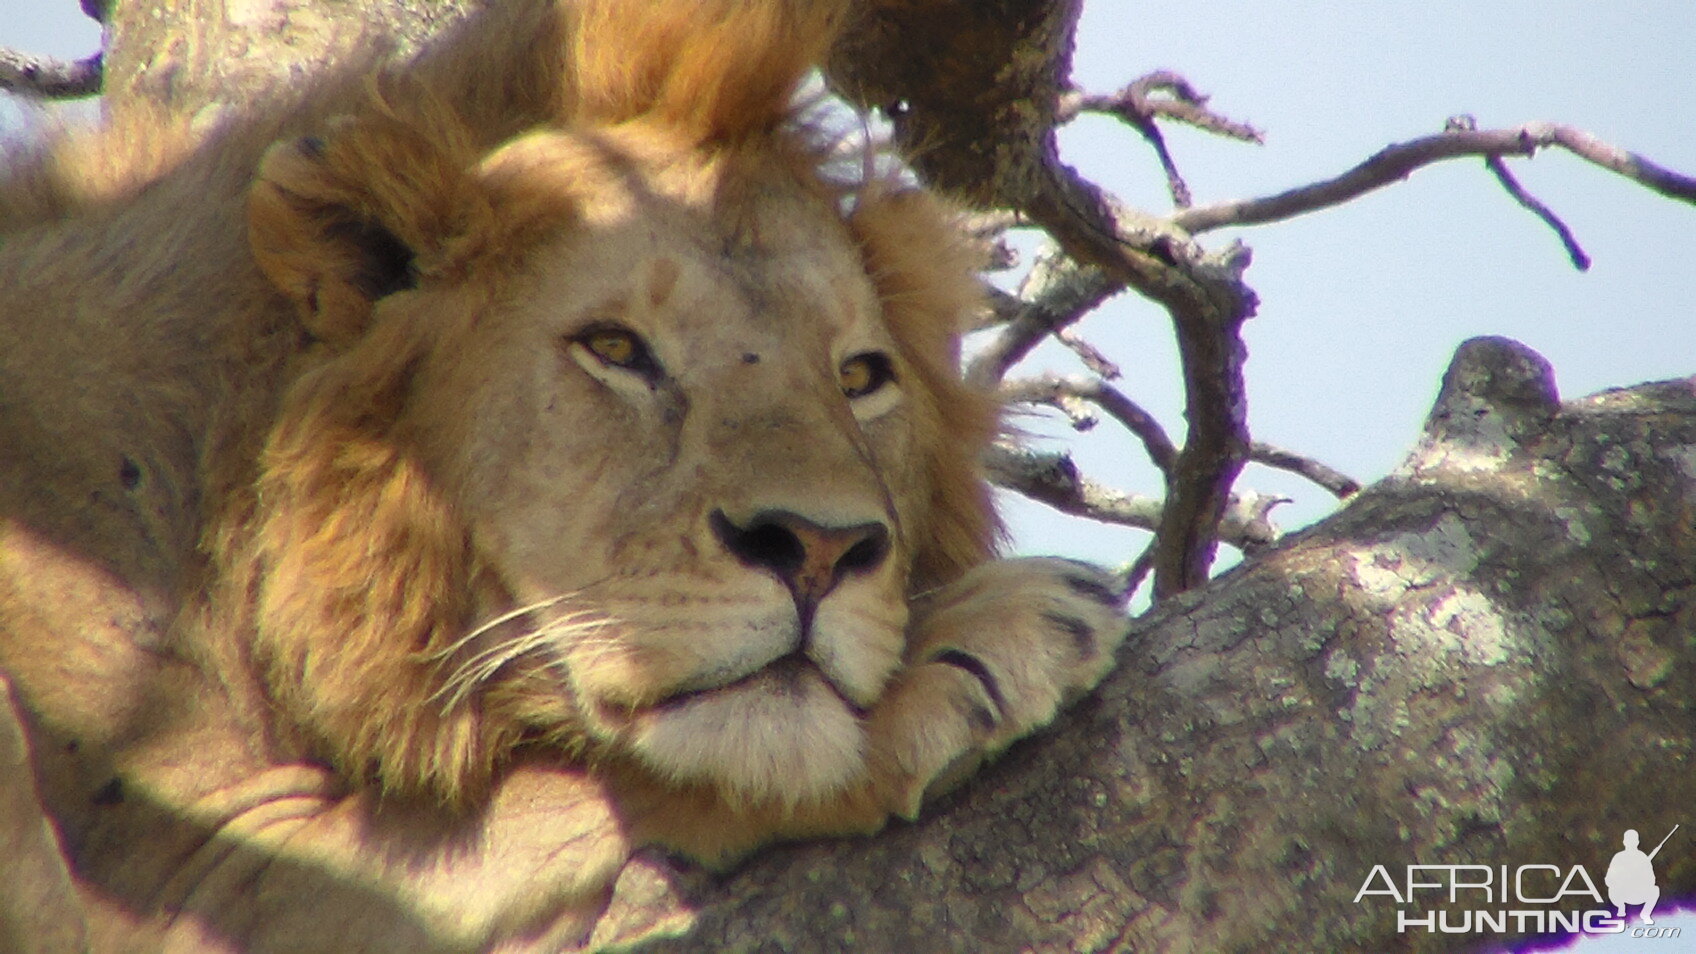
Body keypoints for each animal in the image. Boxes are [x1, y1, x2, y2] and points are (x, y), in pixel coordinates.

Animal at [3, 1, 1139, 943]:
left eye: (860, 376)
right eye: (614, 349)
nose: (818, 549)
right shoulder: (176, 876)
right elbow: (569, 790)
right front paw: (980, 635)